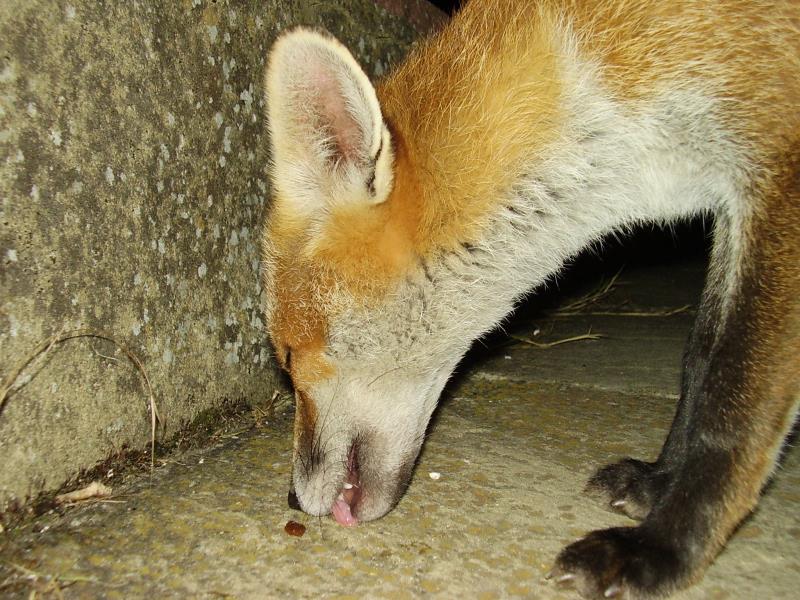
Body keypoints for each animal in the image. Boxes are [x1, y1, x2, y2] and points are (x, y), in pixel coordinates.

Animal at [260, 2, 796, 596]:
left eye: (289, 356)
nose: (290, 499)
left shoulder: (776, 179)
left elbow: (730, 402)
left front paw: (663, 549)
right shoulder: (729, 201)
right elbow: (699, 359)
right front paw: (659, 483)